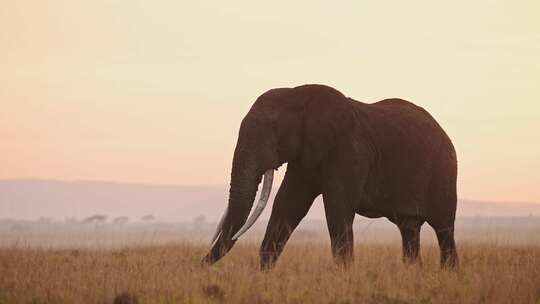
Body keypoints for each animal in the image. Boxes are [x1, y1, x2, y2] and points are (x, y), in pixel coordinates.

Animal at [200, 84, 458, 270]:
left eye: (274, 131)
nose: (198, 266)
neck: (298, 94)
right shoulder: (305, 156)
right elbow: (288, 204)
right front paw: (264, 275)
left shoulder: (350, 151)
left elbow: (337, 207)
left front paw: (345, 275)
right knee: (409, 228)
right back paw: (414, 272)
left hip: (444, 169)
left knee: (443, 227)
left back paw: (447, 274)